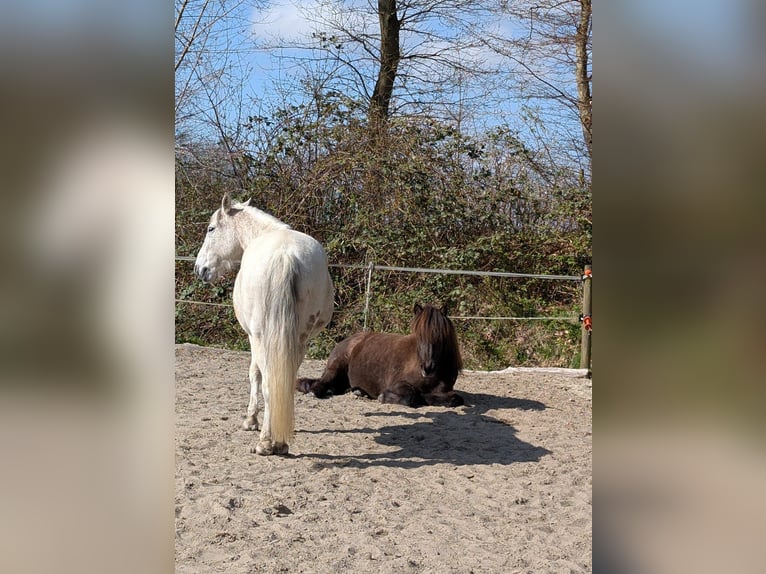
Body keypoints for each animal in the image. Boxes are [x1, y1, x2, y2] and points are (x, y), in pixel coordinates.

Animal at [194, 193, 334, 455]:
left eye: (211, 228)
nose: (200, 269)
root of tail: (284, 255)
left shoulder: (252, 336)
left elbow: (254, 374)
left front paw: (250, 420)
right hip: (299, 338)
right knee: (283, 382)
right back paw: (280, 440)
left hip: (261, 338)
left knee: (269, 382)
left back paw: (267, 442)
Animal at [297, 304, 464, 407]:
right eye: (418, 336)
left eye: (440, 337)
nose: (427, 368)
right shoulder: (398, 384)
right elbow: (411, 396)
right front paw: (384, 397)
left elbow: (455, 399)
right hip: (336, 367)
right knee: (322, 382)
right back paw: (316, 391)